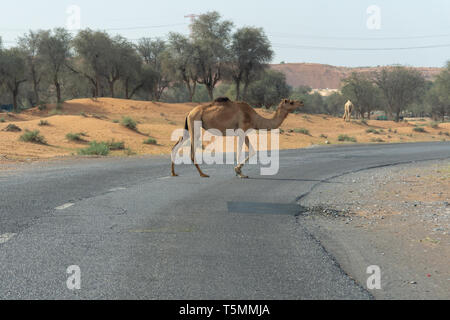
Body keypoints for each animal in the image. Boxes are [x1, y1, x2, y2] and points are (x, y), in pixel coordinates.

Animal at [171, 96, 304, 179]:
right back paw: (203, 174)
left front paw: (239, 171)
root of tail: (189, 112)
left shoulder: (244, 132)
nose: (301, 102)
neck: (254, 118)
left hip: (188, 127)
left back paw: (174, 173)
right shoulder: (241, 130)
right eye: (291, 102)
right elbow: (240, 152)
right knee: (192, 152)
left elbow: (253, 151)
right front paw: (239, 172)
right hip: (195, 124)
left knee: (176, 146)